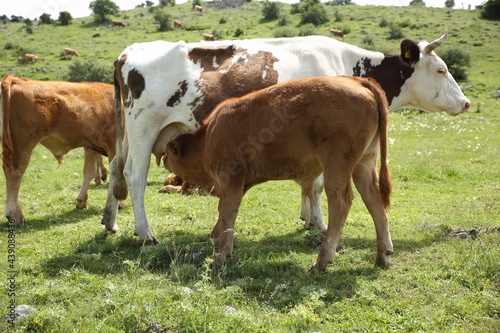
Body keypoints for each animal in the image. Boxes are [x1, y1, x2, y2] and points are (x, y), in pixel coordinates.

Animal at [0, 74, 121, 226]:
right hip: (23, 145)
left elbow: (89, 172)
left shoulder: (91, 146)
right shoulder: (114, 144)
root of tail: (16, 79)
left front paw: (81, 201)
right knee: (14, 174)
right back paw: (14, 215)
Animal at [101, 31, 468, 244]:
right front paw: (318, 223)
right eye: (441, 70)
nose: (464, 103)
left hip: (128, 135)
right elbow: (316, 185)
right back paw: (146, 233)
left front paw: (306, 218)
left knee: (116, 167)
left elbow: (308, 184)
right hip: (144, 129)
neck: (348, 63)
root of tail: (129, 51)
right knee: (134, 176)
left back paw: (111, 222)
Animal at [164, 76, 394, 272]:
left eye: (167, 153)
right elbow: (223, 212)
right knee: (374, 201)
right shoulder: (236, 184)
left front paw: (221, 256)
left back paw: (321, 261)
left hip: (336, 164)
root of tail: (358, 81)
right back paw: (383, 256)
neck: (209, 136)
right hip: (364, 163)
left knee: (341, 202)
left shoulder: (232, 177)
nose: (163, 160)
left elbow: (229, 213)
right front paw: (212, 237)